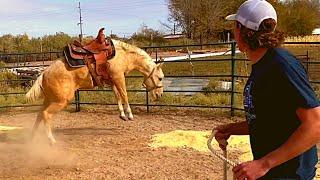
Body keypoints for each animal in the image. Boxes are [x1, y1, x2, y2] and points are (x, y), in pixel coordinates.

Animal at [26, 30, 164, 145]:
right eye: (160, 78)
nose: (160, 95)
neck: (123, 54)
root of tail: (44, 73)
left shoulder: (113, 80)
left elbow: (118, 96)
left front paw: (122, 115)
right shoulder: (119, 77)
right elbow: (124, 94)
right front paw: (129, 115)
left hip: (49, 99)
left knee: (40, 114)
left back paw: (33, 138)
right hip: (61, 101)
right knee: (46, 114)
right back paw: (51, 140)